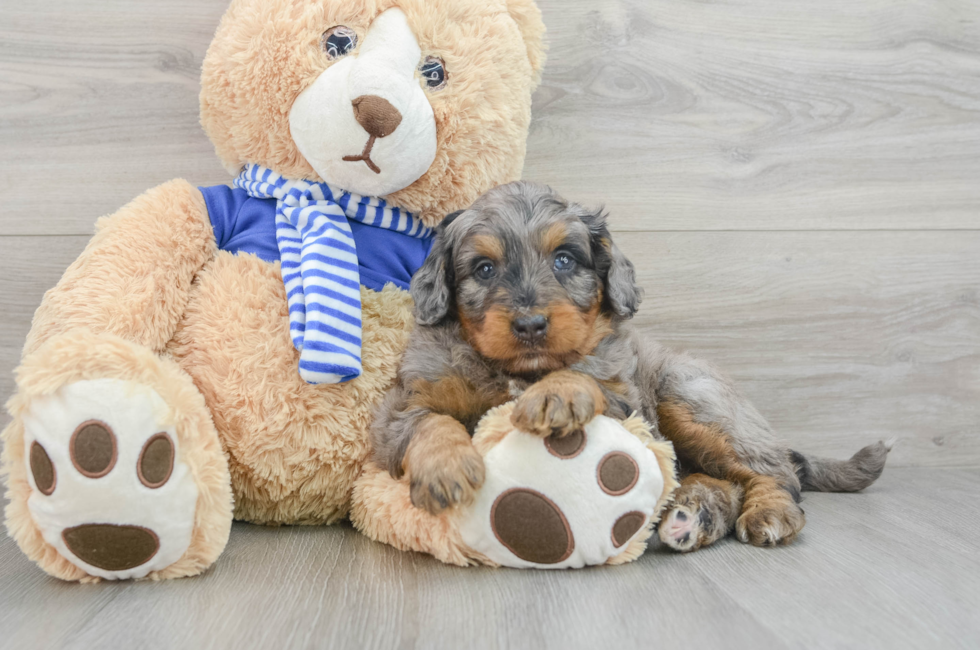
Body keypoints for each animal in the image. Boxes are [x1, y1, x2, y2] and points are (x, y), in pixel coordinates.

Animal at [372, 180, 892, 548]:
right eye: (484, 269)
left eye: (564, 260)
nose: (531, 324)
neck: (519, 370)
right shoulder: (401, 407)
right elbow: (429, 422)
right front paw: (446, 469)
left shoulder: (628, 403)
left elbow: (585, 375)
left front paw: (556, 392)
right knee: (721, 479)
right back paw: (692, 515)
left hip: (691, 397)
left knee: (776, 475)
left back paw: (768, 514)